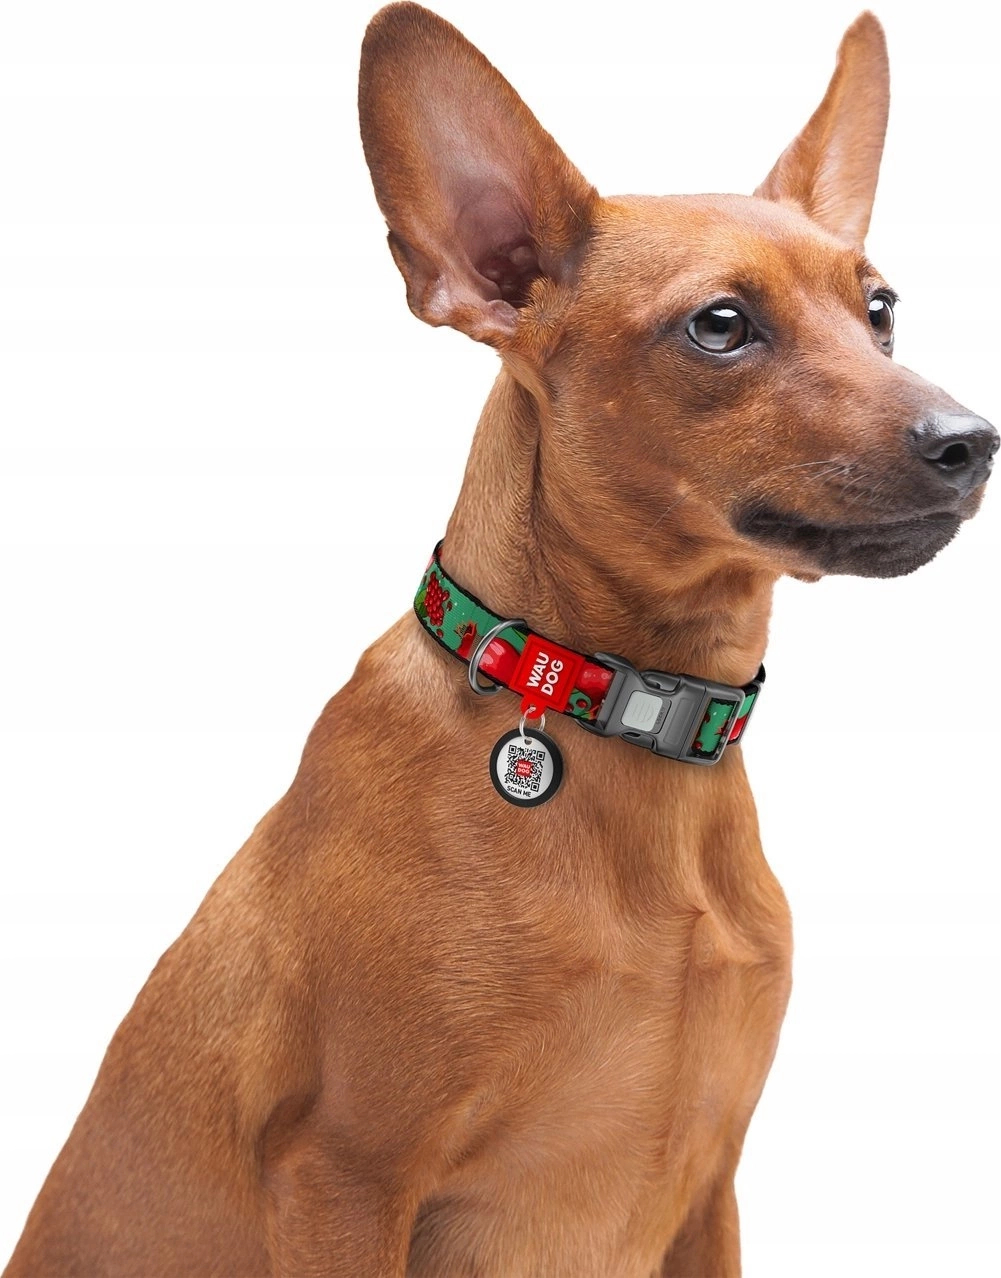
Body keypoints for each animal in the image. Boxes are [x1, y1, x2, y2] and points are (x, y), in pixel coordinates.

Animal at [3, 4, 996, 1275]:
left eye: (878, 309)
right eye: (720, 325)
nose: (970, 441)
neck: (621, 715)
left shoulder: (710, 1189)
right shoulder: (344, 1178)